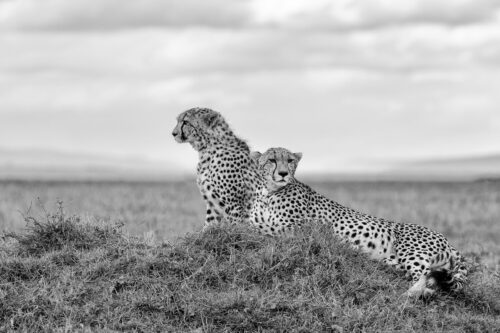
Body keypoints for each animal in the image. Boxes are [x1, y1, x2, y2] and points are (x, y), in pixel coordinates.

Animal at [252, 147, 466, 296]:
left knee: (426, 277)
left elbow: (268, 230)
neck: (268, 192)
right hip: (392, 259)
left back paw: (413, 293)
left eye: (290, 160)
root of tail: (446, 239)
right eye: (271, 160)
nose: (283, 173)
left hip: (412, 252)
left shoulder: (297, 229)